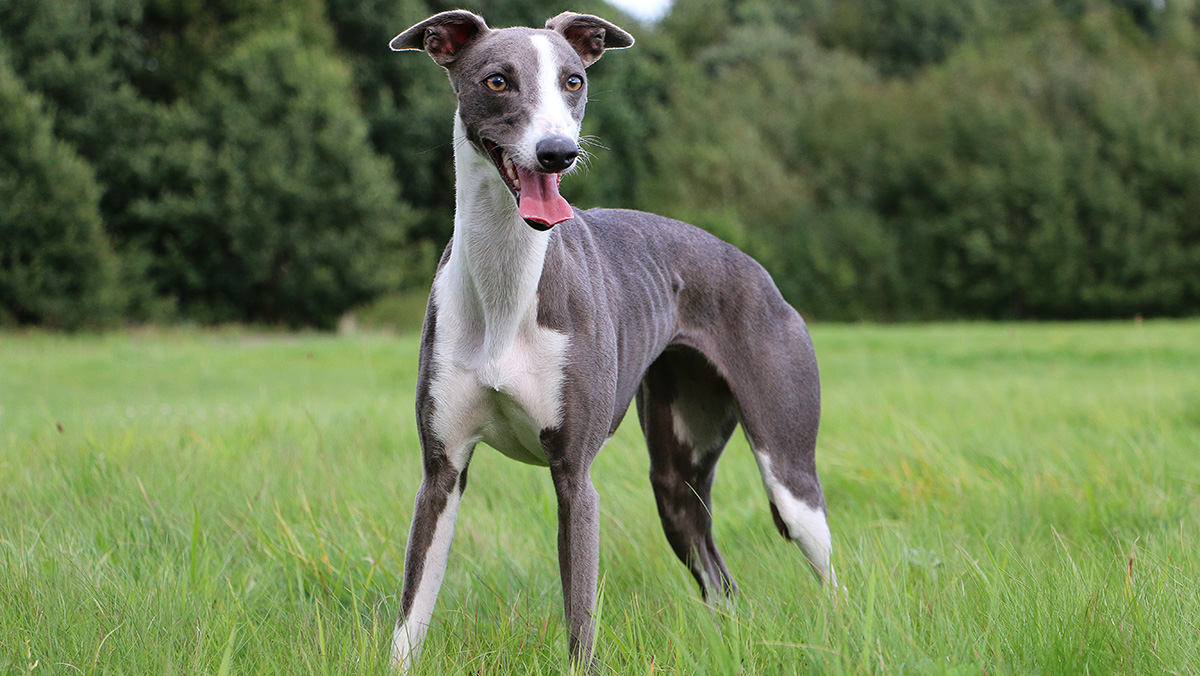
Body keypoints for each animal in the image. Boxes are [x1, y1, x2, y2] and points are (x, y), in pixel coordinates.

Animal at [386, 9, 835, 672]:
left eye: (573, 80)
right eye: (497, 80)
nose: (557, 153)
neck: (505, 291)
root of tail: (758, 272)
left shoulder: (575, 477)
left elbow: (580, 621)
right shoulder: (441, 472)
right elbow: (411, 614)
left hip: (789, 471)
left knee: (830, 573)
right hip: (677, 485)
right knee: (721, 583)